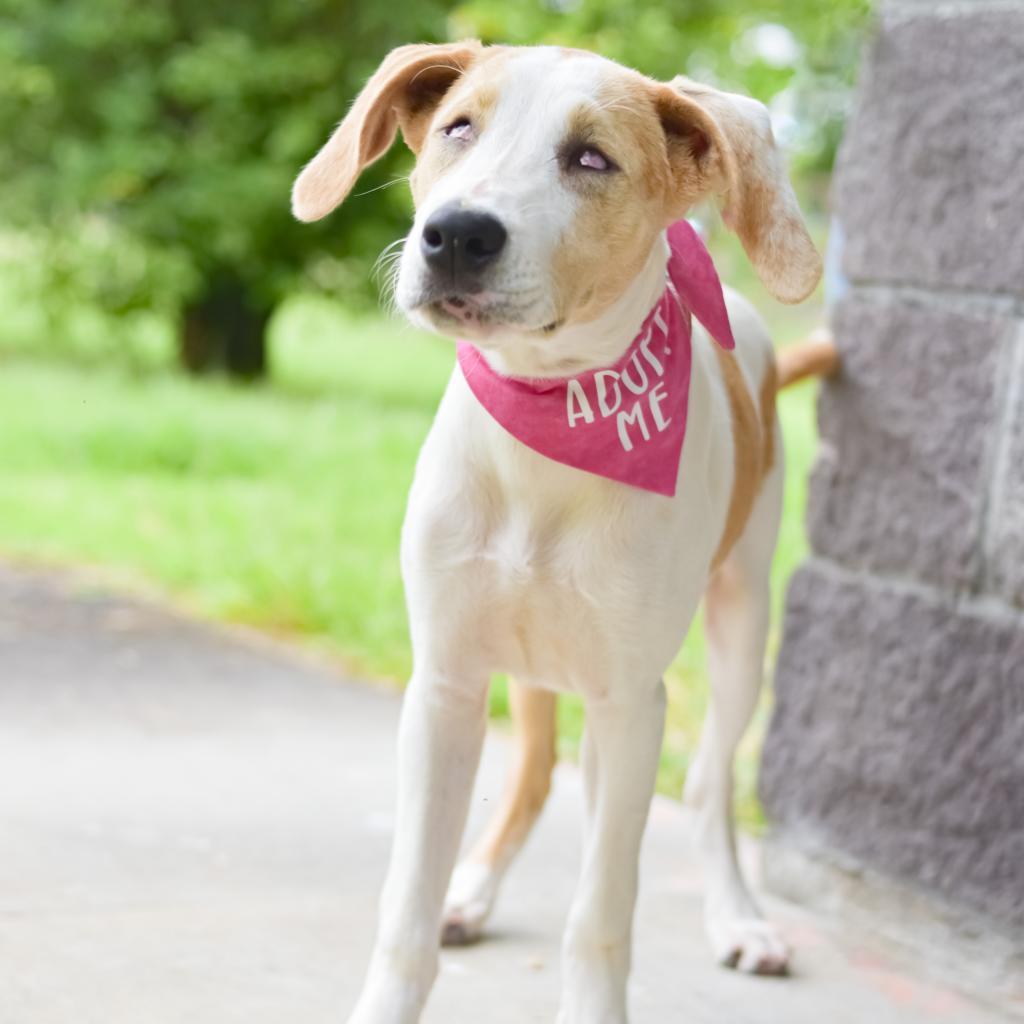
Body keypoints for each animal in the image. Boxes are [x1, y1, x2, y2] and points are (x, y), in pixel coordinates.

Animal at [292, 39, 835, 1024]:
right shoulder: (444, 685)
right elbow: (406, 909)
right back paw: (473, 891)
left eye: (591, 159)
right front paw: (426, 931)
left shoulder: (630, 705)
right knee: (539, 770)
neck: (546, 433)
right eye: (458, 127)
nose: (457, 235)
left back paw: (739, 917)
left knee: (707, 784)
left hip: (741, 623)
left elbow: (601, 914)